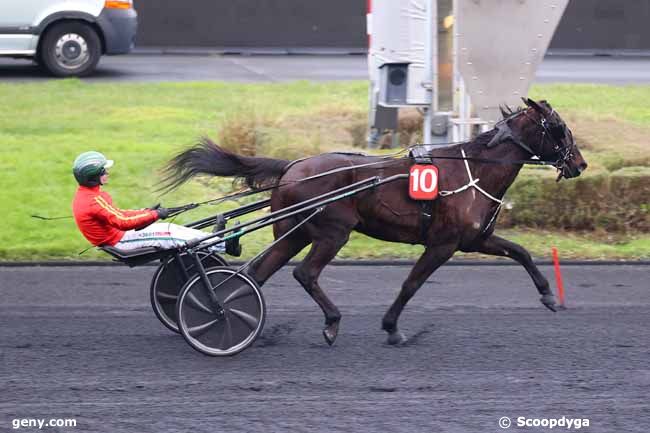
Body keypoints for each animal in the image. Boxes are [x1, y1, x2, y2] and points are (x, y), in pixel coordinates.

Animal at [165, 98, 584, 344]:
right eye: (559, 128)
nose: (580, 164)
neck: (474, 170)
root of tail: (291, 166)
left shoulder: (475, 239)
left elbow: (521, 252)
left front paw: (548, 295)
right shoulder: (443, 243)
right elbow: (411, 284)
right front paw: (392, 328)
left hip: (294, 233)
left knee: (258, 273)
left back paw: (224, 314)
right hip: (332, 232)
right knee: (304, 273)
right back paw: (329, 321)